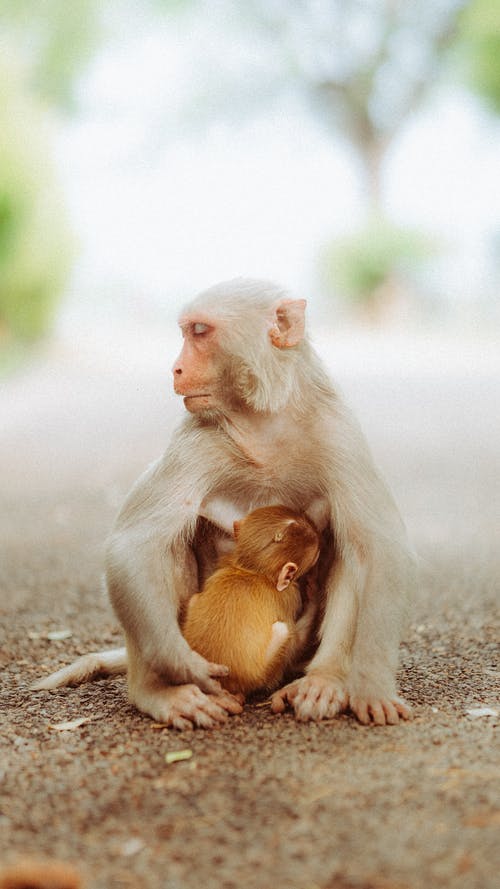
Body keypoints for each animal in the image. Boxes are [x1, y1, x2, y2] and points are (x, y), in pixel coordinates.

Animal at [182, 502, 318, 696]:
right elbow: (296, 642)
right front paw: (314, 596)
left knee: (194, 599)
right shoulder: (290, 597)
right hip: (263, 673)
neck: (252, 571)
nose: (317, 535)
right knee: (282, 630)